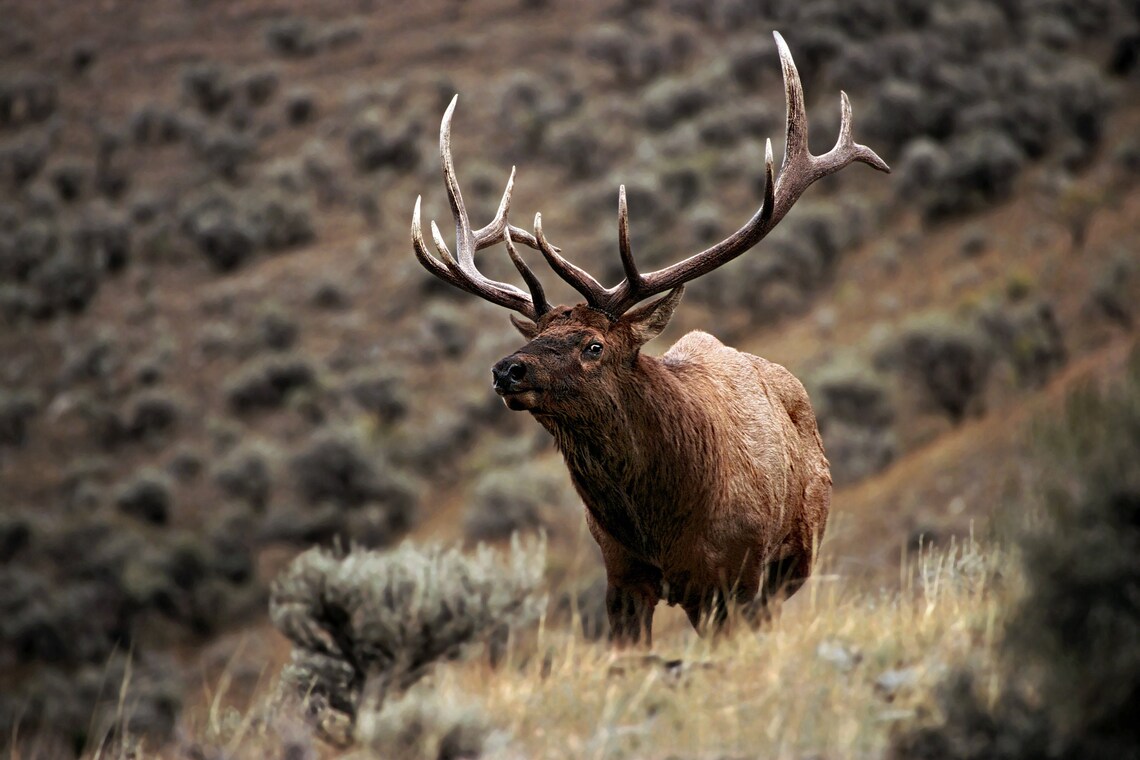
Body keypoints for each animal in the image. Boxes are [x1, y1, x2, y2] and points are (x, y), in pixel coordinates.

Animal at [410, 32, 889, 645]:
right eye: (538, 335)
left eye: (594, 346)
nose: (506, 370)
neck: (660, 521)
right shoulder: (622, 574)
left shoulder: (734, 577)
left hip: (792, 560)